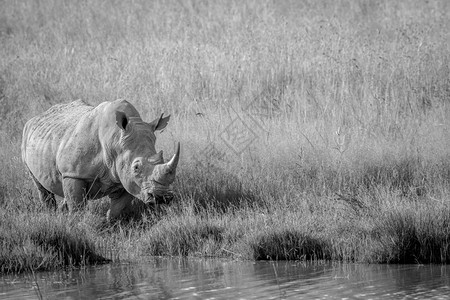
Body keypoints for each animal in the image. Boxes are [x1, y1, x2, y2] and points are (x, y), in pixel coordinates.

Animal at [21, 99, 179, 220]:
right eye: (136, 167)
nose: (162, 197)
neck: (115, 140)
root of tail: (39, 115)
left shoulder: (126, 178)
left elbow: (118, 208)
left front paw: (109, 223)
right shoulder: (74, 174)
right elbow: (77, 206)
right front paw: (78, 225)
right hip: (26, 135)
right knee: (40, 186)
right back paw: (51, 214)